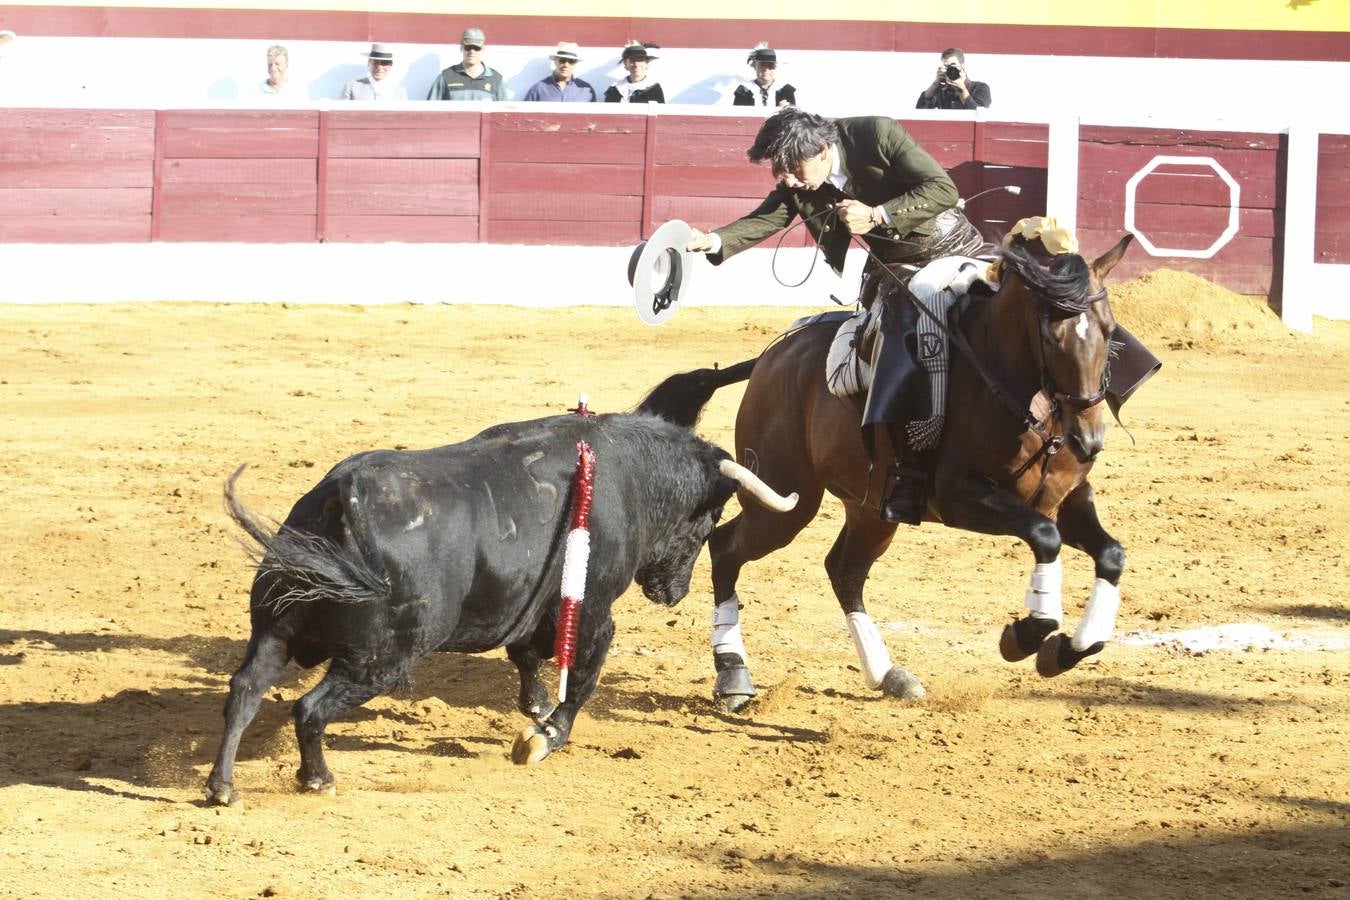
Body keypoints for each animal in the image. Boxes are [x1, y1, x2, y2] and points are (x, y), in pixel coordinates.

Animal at [205, 412, 793, 804]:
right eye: (710, 517)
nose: (672, 592)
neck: (628, 475)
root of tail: (339, 499)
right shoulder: (594, 610)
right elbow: (582, 677)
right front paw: (545, 736)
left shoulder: (527, 606)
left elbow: (526, 656)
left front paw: (535, 707)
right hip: (381, 656)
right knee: (309, 708)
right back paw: (317, 779)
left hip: (274, 628)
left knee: (245, 690)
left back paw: (222, 787)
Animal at [637, 234, 1134, 712]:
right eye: (1051, 337)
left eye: (1109, 331)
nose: (1089, 439)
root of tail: (770, 357)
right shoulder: (961, 497)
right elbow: (1045, 539)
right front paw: (1025, 636)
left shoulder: (1062, 498)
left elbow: (1111, 553)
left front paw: (1068, 649)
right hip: (783, 502)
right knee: (726, 547)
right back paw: (733, 676)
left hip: (871, 507)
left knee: (844, 570)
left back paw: (886, 673)